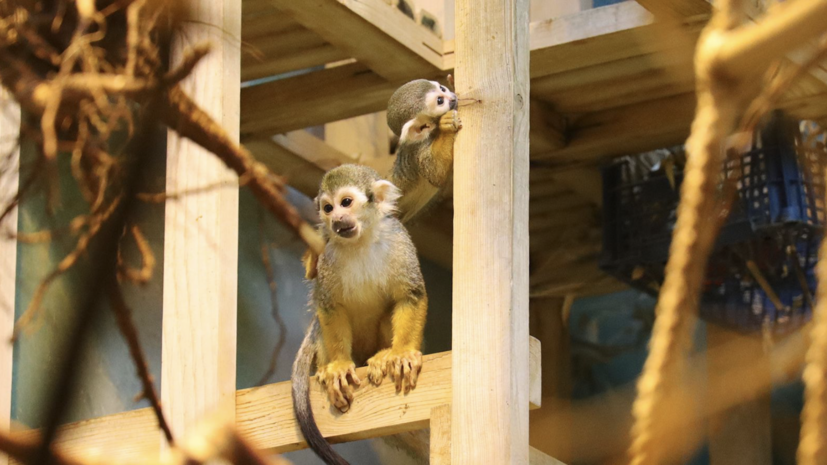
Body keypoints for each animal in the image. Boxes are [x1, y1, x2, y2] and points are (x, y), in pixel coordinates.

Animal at [292, 164, 426, 464]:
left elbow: (409, 295)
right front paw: (340, 366)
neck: (361, 240)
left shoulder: (397, 238)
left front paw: (401, 353)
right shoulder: (328, 254)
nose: (336, 218)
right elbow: (329, 305)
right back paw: (326, 369)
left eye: (346, 202)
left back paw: (383, 356)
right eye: (328, 208)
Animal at [390, 78, 462, 223]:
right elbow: (435, 173)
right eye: (440, 100)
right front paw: (446, 126)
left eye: (442, 89)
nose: (452, 98)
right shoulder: (417, 151)